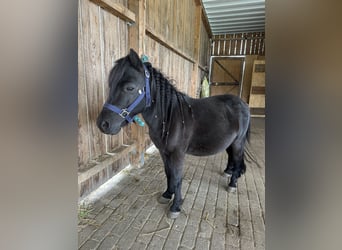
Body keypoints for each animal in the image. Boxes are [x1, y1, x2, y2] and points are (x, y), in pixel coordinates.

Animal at [97, 48, 250, 219]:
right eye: (110, 85)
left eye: (129, 88)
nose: (103, 124)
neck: (170, 116)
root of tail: (242, 104)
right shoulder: (164, 152)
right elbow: (168, 173)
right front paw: (167, 195)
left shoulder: (178, 154)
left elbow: (177, 177)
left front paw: (175, 207)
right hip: (231, 142)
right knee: (232, 157)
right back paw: (227, 173)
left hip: (238, 142)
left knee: (237, 159)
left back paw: (232, 184)